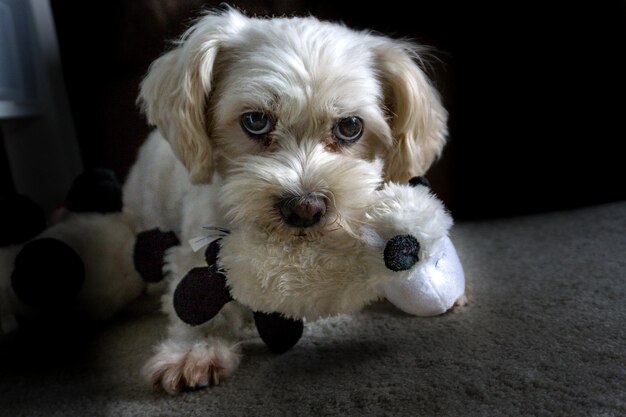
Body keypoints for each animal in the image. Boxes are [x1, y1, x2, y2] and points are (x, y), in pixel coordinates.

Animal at [122, 6, 446, 392]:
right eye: (255, 120)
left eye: (350, 126)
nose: (305, 208)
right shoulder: (197, 244)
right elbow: (198, 297)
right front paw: (195, 350)